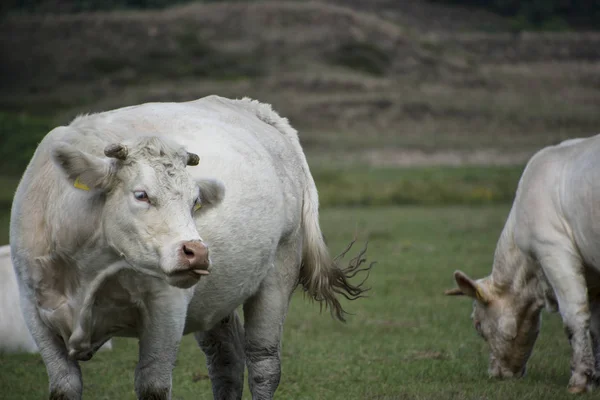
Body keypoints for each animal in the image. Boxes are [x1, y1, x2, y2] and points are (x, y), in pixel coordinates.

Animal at [9, 96, 372, 400]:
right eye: (141, 195)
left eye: (195, 201)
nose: (197, 252)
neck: (87, 271)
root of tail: (252, 108)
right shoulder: (34, 312)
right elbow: (64, 387)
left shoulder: (165, 309)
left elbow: (153, 385)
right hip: (216, 297)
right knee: (226, 360)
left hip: (279, 273)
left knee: (263, 362)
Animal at [446, 137, 600, 394]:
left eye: (478, 325)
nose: (495, 373)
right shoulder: (593, 274)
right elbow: (597, 326)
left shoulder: (554, 251)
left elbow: (574, 316)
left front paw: (580, 379)